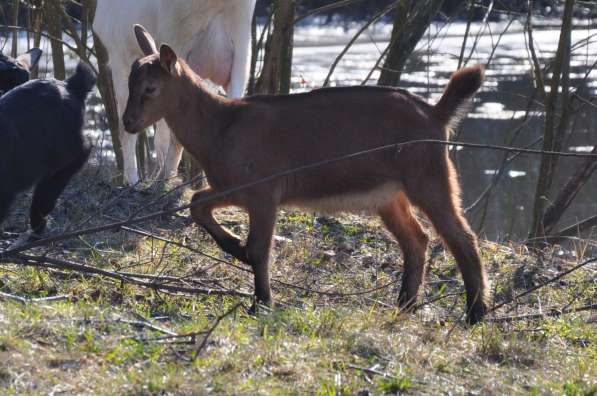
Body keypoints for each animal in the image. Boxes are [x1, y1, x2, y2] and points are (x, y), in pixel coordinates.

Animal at [122, 24, 488, 324]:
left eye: (150, 88)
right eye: (129, 83)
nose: (128, 122)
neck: (220, 128)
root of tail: (436, 113)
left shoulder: (263, 191)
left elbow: (260, 248)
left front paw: (261, 303)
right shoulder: (232, 187)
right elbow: (198, 204)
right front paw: (236, 250)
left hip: (428, 174)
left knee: (461, 237)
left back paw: (475, 314)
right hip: (389, 192)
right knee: (417, 239)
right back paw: (406, 305)